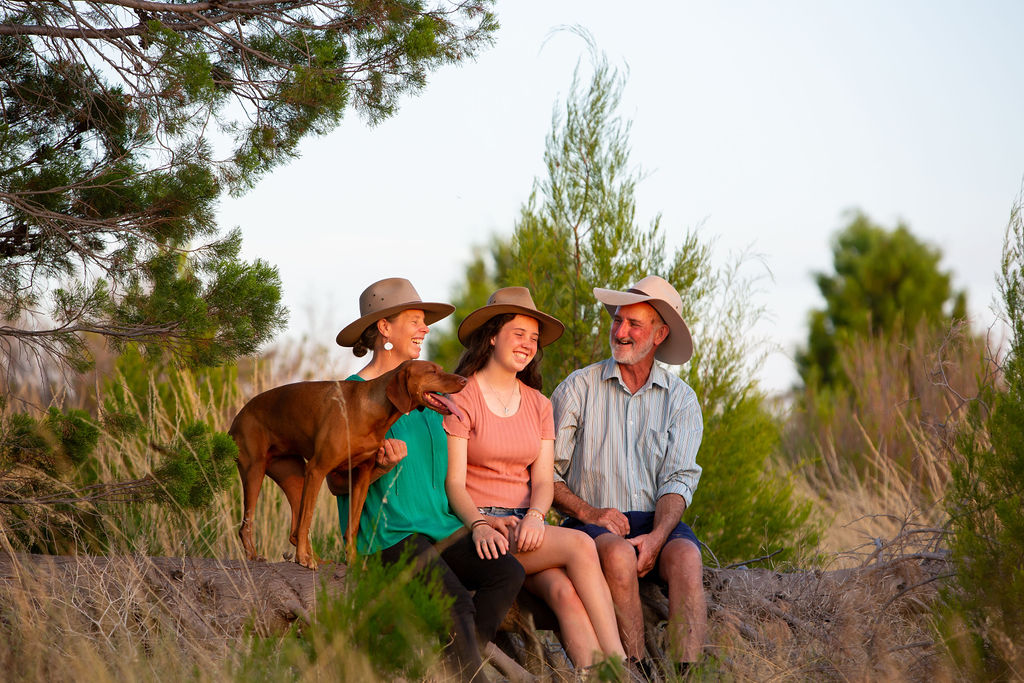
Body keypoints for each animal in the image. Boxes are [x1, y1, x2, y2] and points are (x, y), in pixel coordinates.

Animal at [230, 360, 466, 569]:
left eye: (440, 369)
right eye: (432, 371)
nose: (463, 380)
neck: (371, 411)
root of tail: (236, 418)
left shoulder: (361, 477)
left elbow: (351, 527)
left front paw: (352, 561)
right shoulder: (317, 469)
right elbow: (308, 518)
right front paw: (303, 560)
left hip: (294, 476)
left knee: (295, 530)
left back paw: (317, 559)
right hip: (255, 470)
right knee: (249, 524)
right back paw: (259, 556)